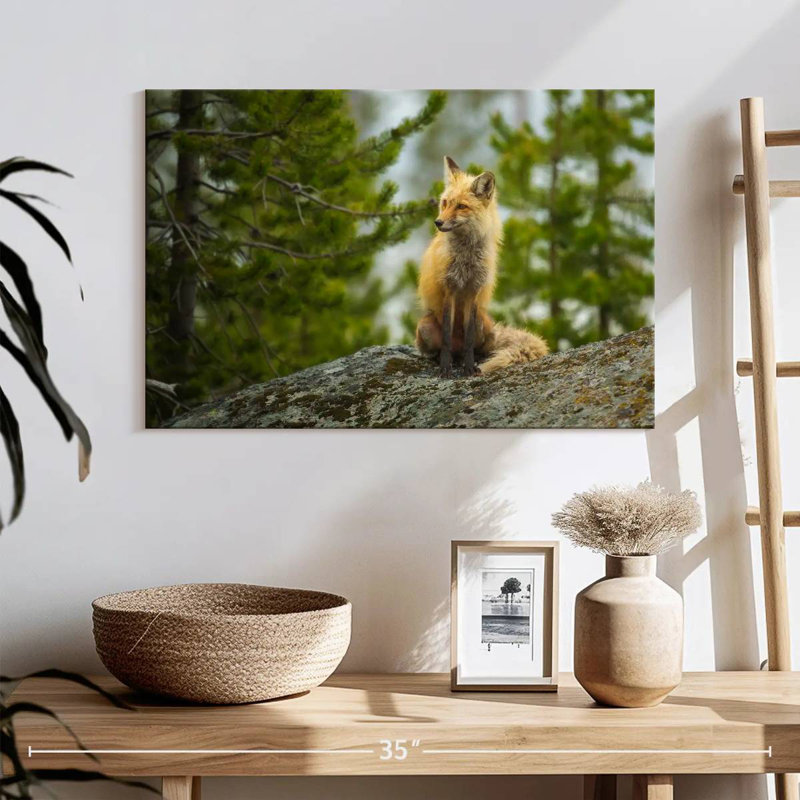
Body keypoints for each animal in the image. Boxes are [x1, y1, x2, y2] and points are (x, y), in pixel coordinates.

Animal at [415, 156, 548, 377]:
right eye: (445, 203)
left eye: (461, 206)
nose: (438, 222)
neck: (466, 258)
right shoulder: (449, 288)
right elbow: (446, 337)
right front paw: (445, 367)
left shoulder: (474, 290)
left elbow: (469, 340)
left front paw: (469, 367)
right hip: (424, 328)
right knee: (442, 348)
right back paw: (443, 358)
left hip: (483, 326)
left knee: (478, 348)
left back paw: (469, 360)